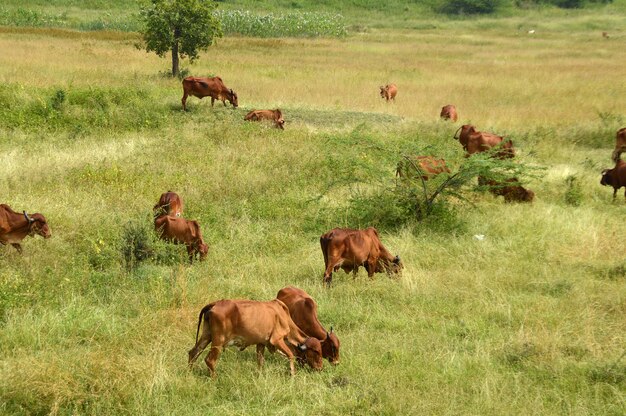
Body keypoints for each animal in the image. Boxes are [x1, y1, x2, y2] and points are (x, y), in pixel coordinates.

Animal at [186, 300, 322, 376]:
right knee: (210, 360)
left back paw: (189, 374)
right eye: (316, 352)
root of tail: (214, 304)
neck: (284, 316)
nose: (320, 368)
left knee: (193, 352)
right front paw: (292, 375)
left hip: (207, 335)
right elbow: (290, 355)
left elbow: (260, 362)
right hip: (218, 340)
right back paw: (215, 379)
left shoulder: (261, 343)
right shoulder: (277, 340)